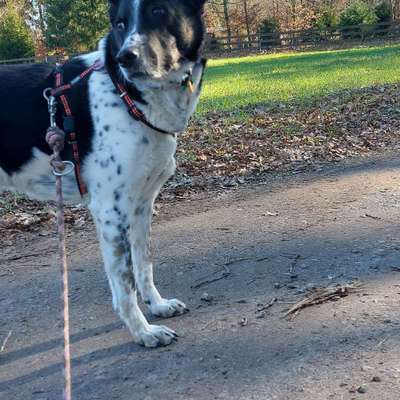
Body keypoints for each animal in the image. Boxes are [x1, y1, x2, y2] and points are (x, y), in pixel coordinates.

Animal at [0, 0, 206, 346]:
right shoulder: (110, 211)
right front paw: (143, 332)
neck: (122, 89)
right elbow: (124, 284)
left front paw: (157, 305)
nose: (126, 57)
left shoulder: (141, 207)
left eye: (159, 11)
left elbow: (143, 264)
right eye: (120, 24)